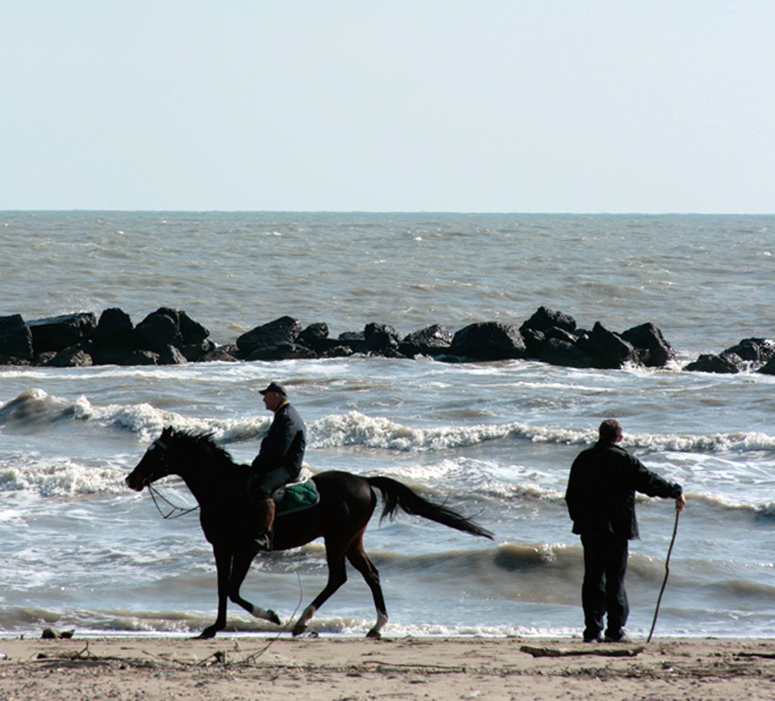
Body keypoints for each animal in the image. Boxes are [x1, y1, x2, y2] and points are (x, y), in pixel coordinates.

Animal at [125, 424, 494, 636]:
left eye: (155, 455)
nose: (131, 479)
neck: (224, 490)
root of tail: (364, 482)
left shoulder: (247, 548)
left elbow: (232, 589)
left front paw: (270, 615)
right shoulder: (222, 548)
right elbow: (221, 589)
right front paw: (215, 628)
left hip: (337, 539)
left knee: (338, 578)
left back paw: (302, 622)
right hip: (352, 541)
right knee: (370, 574)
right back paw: (375, 626)